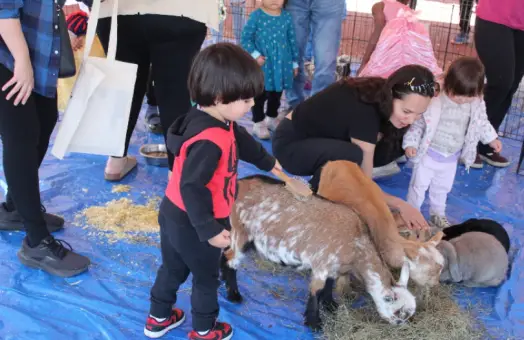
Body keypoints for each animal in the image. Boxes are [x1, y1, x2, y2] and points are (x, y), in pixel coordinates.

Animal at [221, 175, 418, 330]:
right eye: (398, 312)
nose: (400, 324)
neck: (357, 243)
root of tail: (239, 183)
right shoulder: (322, 264)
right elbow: (316, 291)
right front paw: (314, 323)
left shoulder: (333, 267)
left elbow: (329, 286)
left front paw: (331, 305)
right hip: (240, 231)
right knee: (231, 259)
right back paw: (234, 295)